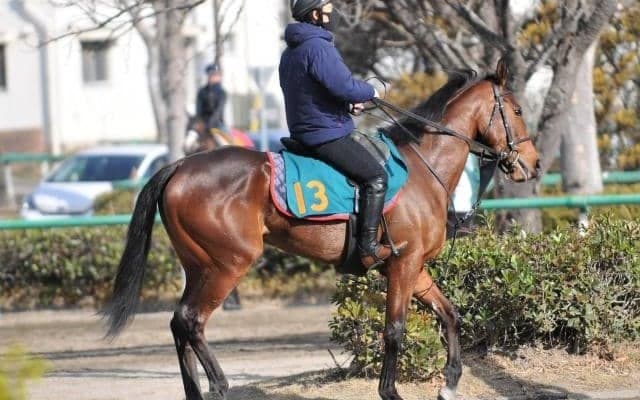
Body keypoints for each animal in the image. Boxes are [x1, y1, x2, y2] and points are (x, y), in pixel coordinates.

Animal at [104, 60, 540, 400]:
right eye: (517, 109)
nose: (533, 165)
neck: (421, 166)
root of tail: (180, 165)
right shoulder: (403, 265)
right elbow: (394, 330)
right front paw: (391, 391)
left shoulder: (414, 269)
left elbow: (449, 314)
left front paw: (449, 382)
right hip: (228, 265)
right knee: (191, 321)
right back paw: (222, 385)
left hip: (200, 266)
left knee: (179, 323)